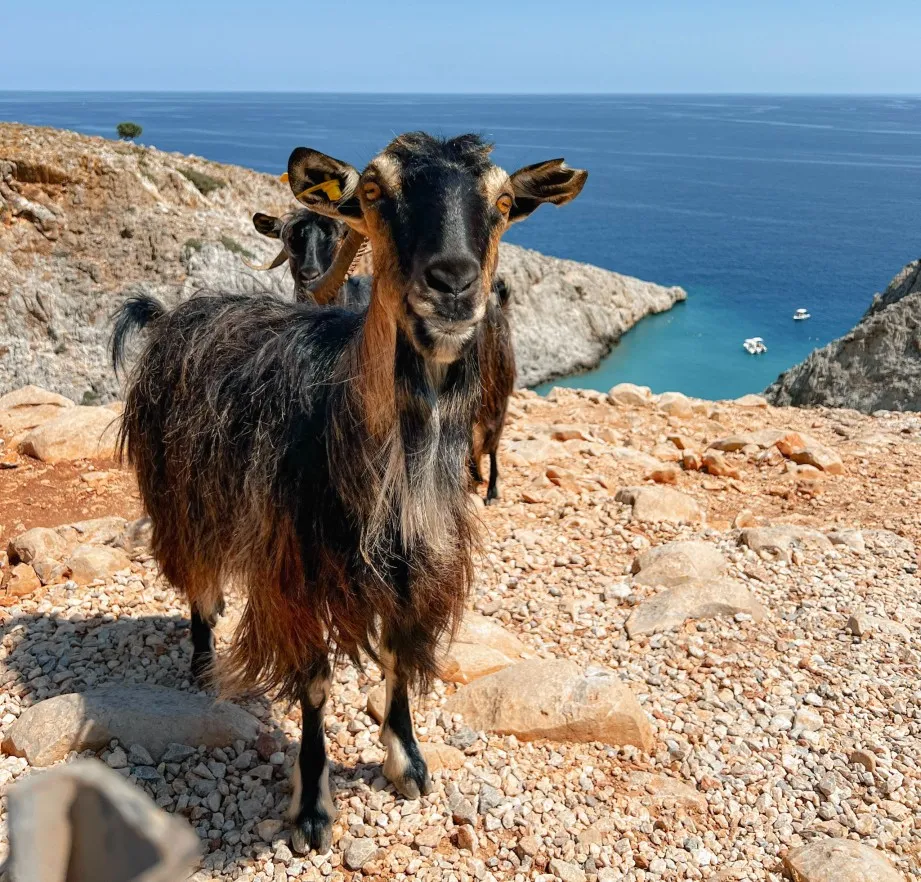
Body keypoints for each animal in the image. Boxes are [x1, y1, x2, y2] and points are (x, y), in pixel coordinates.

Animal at [111, 132, 586, 854]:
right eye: (371, 190)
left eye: (505, 201)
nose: (452, 283)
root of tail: (172, 312)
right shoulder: (295, 573)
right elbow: (314, 680)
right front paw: (312, 809)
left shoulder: (414, 566)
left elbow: (397, 655)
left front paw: (407, 762)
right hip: (181, 493)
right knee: (198, 582)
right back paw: (200, 666)